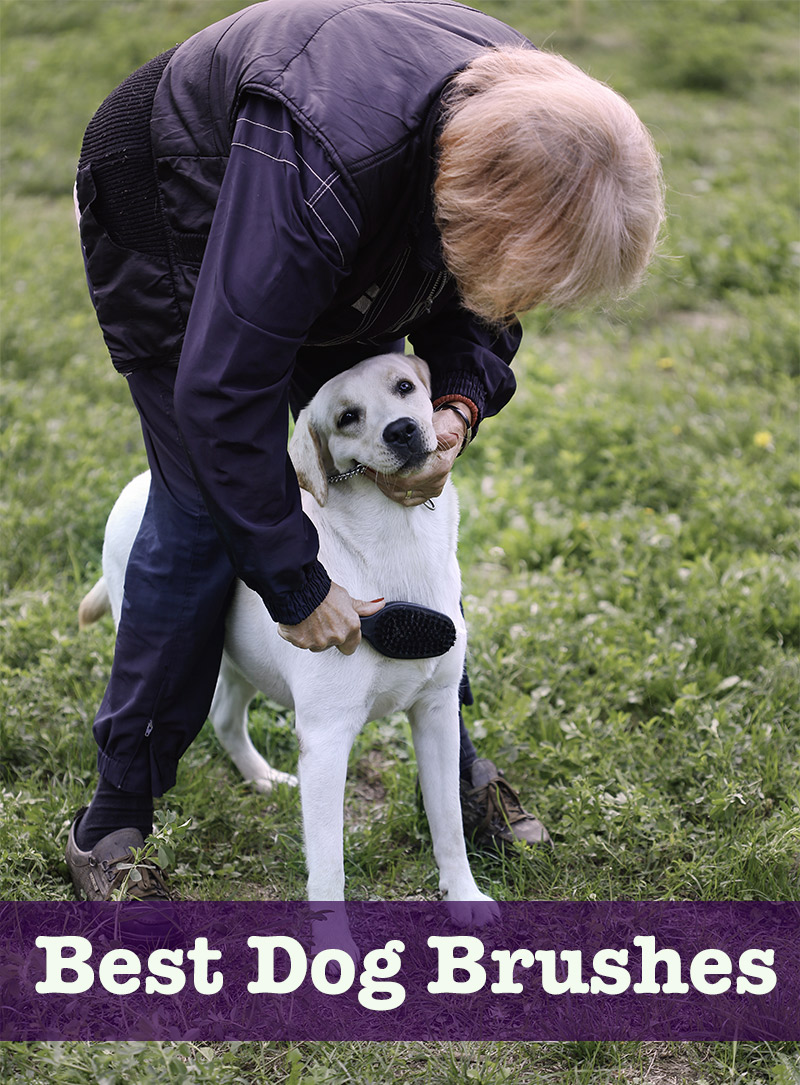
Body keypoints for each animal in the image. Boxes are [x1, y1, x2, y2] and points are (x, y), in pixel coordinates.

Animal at [79, 351, 492, 946]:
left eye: (404, 387)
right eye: (346, 417)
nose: (402, 430)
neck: (398, 540)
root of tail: (141, 483)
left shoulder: (437, 712)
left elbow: (450, 825)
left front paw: (464, 897)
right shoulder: (326, 739)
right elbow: (329, 867)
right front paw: (336, 952)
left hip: (241, 662)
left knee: (226, 717)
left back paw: (261, 777)